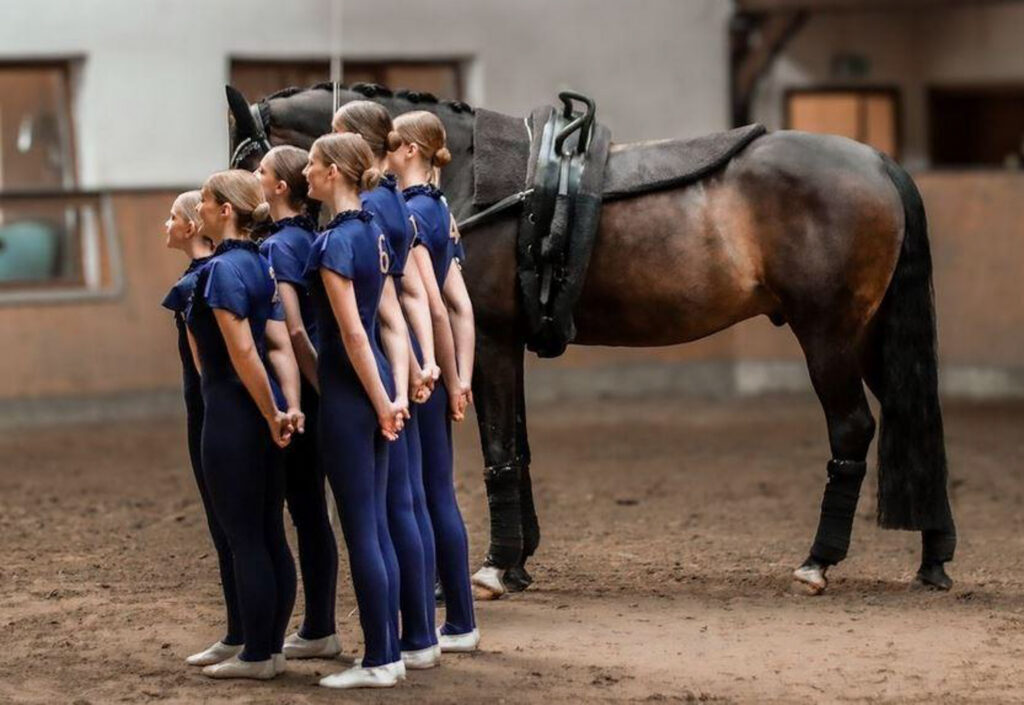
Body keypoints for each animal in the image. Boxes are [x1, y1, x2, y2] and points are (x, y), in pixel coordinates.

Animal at [225, 82, 957, 599]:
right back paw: (934, 557)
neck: (462, 175)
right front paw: (520, 558)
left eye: (247, 161)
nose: (248, 241)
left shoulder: (491, 340)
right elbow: (517, 447)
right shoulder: (508, 343)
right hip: (870, 336)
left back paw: (818, 562)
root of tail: (877, 161)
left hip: (828, 336)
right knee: (915, 423)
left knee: (854, 430)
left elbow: (499, 450)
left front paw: (496, 568)